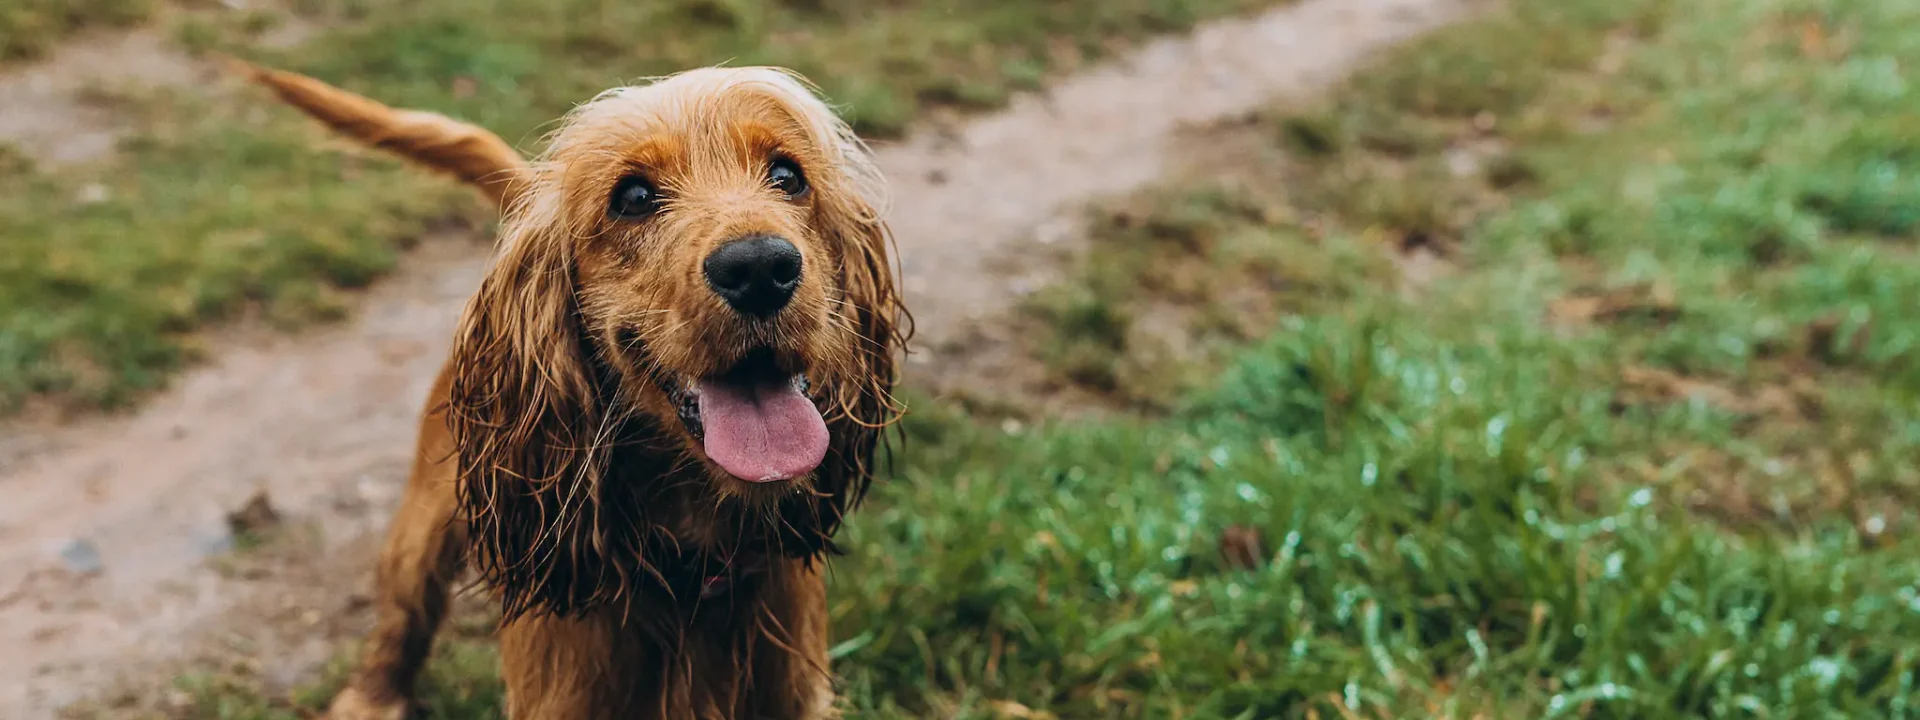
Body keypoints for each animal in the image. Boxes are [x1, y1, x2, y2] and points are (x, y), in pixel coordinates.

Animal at [236, 63, 910, 720]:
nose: (762, 269)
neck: (692, 568)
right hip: (421, 527)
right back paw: (369, 701)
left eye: (788, 176)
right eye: (632, 197)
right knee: (401, 619)